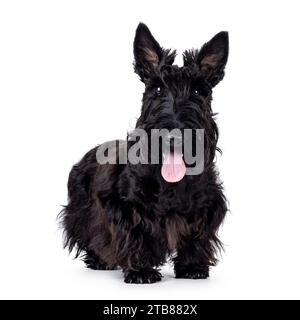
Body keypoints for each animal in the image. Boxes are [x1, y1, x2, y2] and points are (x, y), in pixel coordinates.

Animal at [61, 23, 230, 282]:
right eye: (158, 88)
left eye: (198, 92)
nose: (173, 136)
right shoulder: (126, 208)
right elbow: (136, 234)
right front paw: (141, 270)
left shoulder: (207, 207)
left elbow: (197, 237)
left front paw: (192, 267)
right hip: (81, 210)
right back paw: (100, 260)